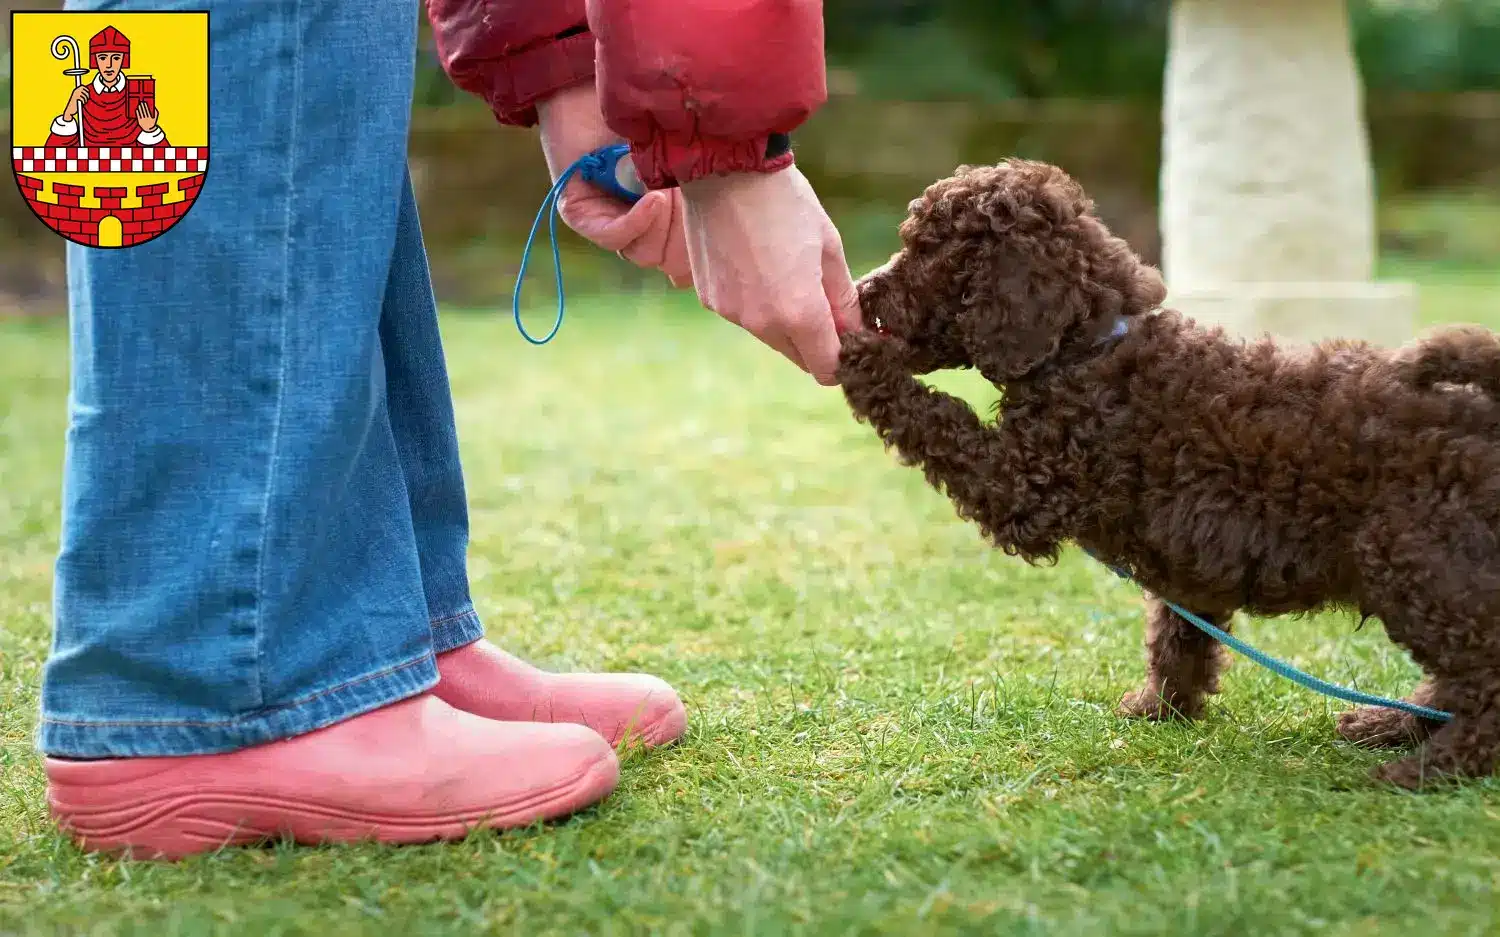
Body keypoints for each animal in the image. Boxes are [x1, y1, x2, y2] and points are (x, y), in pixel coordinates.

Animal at [840, 157, 1500, 785]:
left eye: (931, 250)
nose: (864, 290)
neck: (1088, 347)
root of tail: (1483, 413)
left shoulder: (1026, 485)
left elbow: (939, 419)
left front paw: (864, 359)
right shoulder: (1191, 559)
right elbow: (1176, 634)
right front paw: (1161, 708)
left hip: (1418, 563)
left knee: (1483, 674)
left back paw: (1430, 765)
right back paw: (1392, 726)